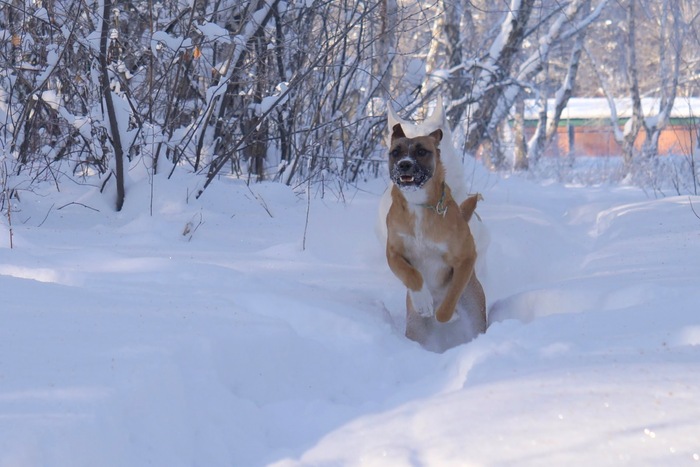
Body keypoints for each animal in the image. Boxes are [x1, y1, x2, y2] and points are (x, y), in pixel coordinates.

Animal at [382, 100, 486, 352]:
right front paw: (423, 300)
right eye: (396, 152)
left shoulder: (465, 257)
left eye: (422, 151)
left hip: (476, 312)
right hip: (415, 328)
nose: (404, 165)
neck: (420, 205)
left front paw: (446, 313)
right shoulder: (394, 252)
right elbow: (411, 274)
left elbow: (452, 294)